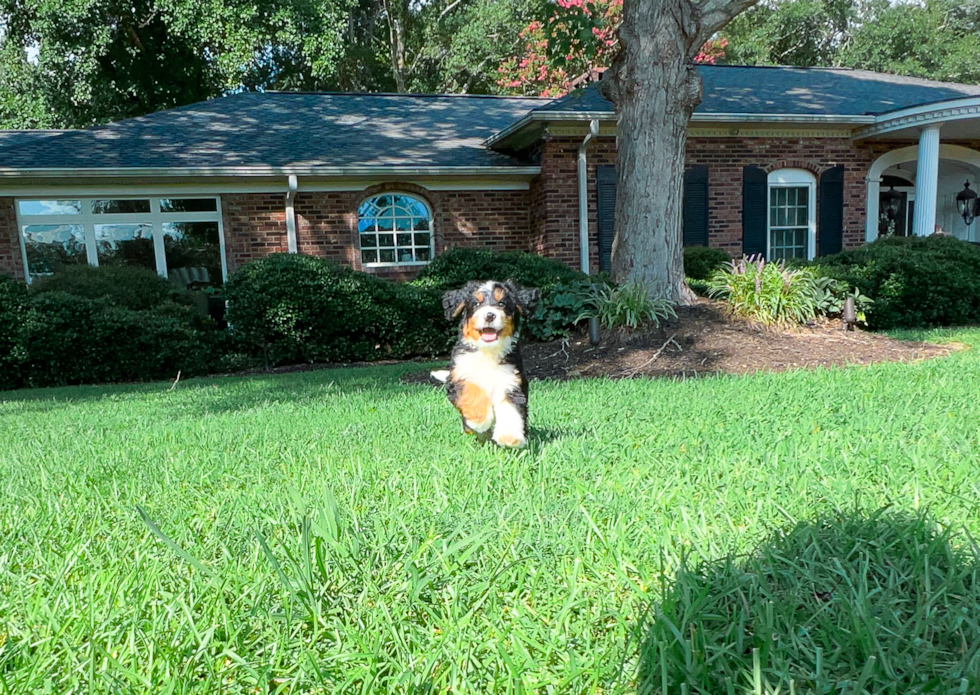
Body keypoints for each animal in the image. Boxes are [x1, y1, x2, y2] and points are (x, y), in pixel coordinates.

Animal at [434, 282, 536, 452]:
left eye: (502, 303)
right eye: (477, 304)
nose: (489, 315)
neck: (488, 351)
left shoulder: (511, 382)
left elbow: (511, 410)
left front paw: (510, 437)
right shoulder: (459, 377)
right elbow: (473, 391)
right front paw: (479, 420)